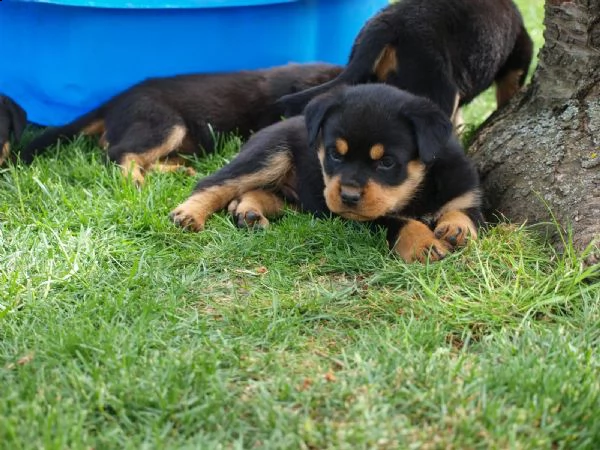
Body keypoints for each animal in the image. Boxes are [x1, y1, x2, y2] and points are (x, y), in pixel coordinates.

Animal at [22, 62, 342, 184]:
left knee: (143, 158)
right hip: (166, 123)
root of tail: (112, 103)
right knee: (119, 153)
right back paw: (135, 181)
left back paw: (178, 171)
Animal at [170, 83, 482, 264]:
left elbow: (464, 211)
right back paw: (189, 214)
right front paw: (424, 245)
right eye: (335, 154)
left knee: (260, 193)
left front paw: (456, 229)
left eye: (387, 162)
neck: (418, 189)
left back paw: (249, 213)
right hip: (270, 154)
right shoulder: (367, 219)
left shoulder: (467, 191)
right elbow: (400, 222)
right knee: (215, 182)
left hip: (296, 197)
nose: (349, 196)